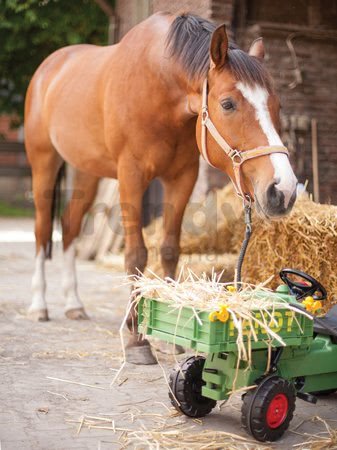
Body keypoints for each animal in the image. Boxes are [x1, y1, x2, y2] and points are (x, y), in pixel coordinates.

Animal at [25, 13, 296, 366]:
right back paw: (39, 305)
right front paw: (137, 339)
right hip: (44, 164)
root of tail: (49, 67)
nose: (284, 190)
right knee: (43, 229)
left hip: (86, 170)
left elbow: (169, 249)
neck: (158, 86)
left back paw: (74, 304)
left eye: (277, 105)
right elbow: (136, 254)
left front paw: (172, 333)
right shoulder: (131, 176)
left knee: (69, 225)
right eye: (227, 104)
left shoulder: (182, 178)